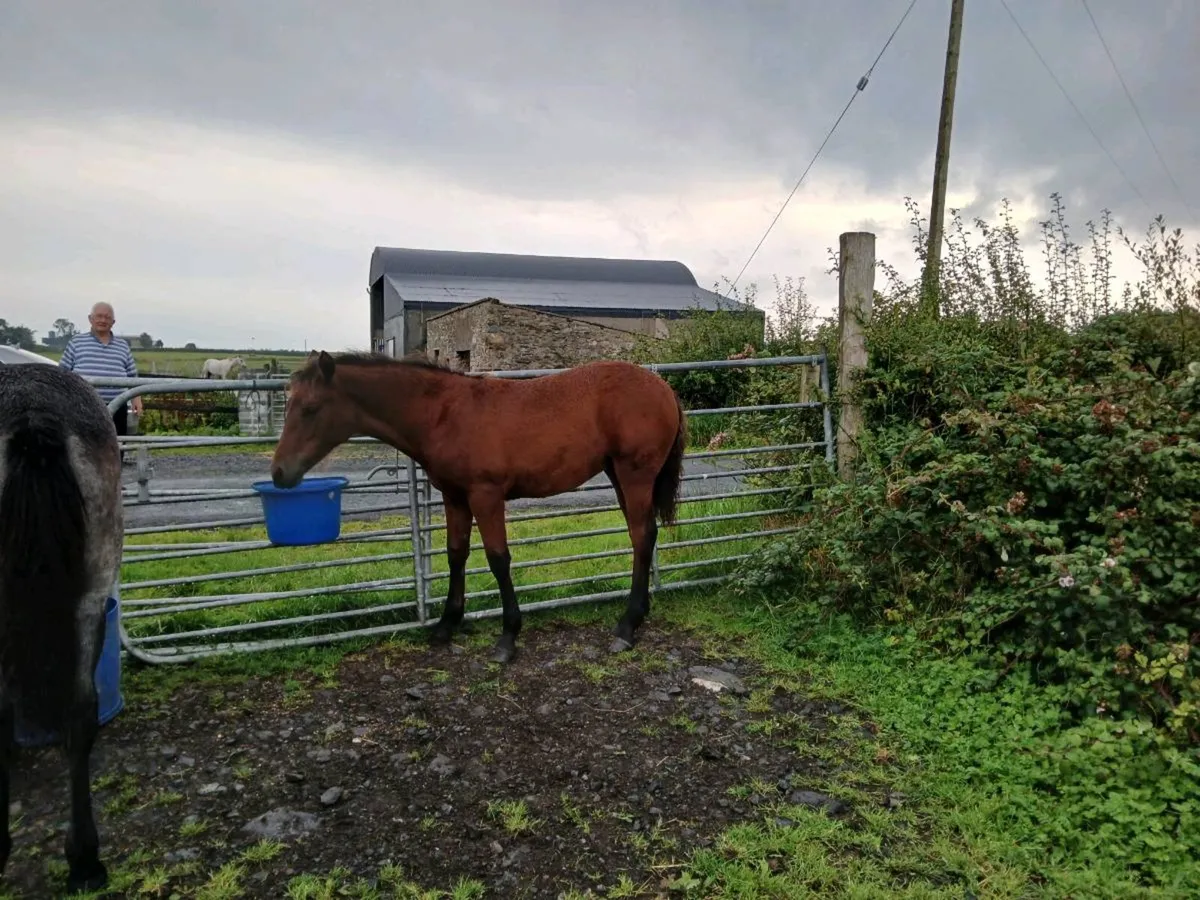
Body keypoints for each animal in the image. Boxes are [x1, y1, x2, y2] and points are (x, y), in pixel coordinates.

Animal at [270, 351, 687, 664]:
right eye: (288, 405)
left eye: (310, 408)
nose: (279, 473)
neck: (444, 413)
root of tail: (663, 388)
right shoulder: (454, 497)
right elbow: (456, 553)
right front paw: (445, 625)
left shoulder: (485, 495)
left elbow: (497, 558)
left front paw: (508, 637)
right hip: (618, 474)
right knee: (643, 536)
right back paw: (639, 613)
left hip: (634, 475)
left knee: (641, 536)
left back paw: (627, 626)